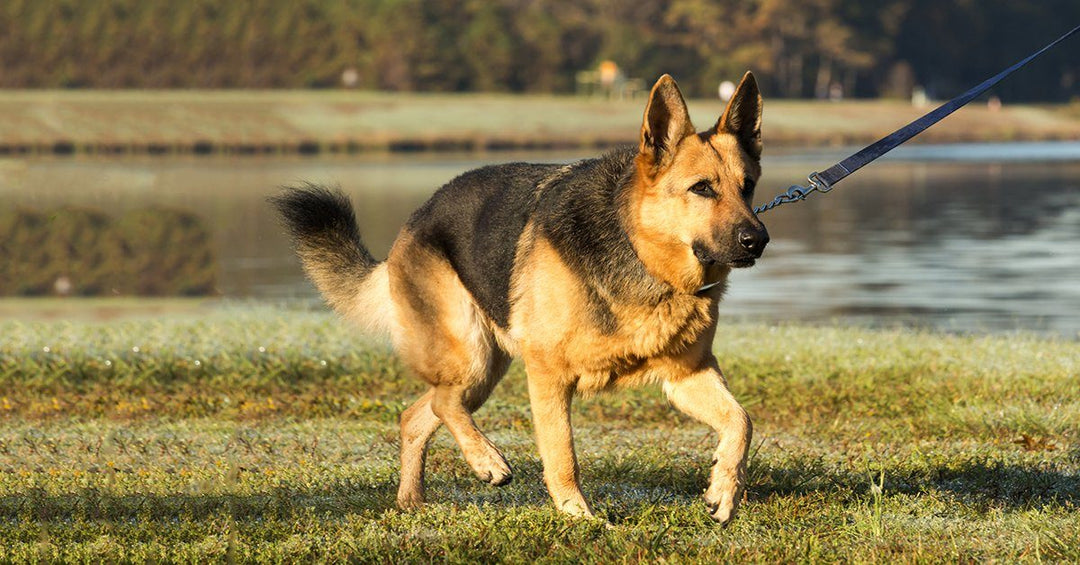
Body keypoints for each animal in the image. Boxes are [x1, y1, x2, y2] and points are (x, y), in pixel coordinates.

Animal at [276, 72, 768, 525]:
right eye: (701, 188)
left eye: (748, 187)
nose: (758, 240)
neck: (640, 252)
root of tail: (416, 218)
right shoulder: (549, 376)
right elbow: (562, 454)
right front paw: (578, 517)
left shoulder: (687, 376)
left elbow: (740, 421)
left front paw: (723, 490)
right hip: (472, 355)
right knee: (442, 403)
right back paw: (487, 461)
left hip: (483, 372)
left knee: (417, 413)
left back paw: (411, 502)